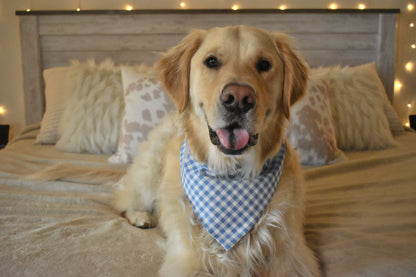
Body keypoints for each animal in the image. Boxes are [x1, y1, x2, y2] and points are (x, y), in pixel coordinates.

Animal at [114, 25, 322, 276]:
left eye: (264, 64)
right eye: (211, 61)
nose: (238, 98)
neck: (231, 172)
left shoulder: (294, 258)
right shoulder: (187, 260)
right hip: (149, 172)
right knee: (123, 202)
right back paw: (141, 216)